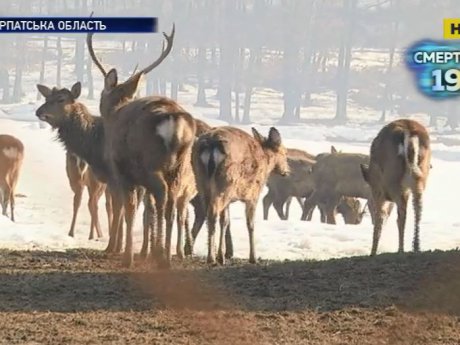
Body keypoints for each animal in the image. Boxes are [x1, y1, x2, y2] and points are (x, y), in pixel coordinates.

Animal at [87, 24, 199, 266]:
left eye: (102, 92)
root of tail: (174, 120)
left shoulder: (121, 171)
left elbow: (128, 209)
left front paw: (126, 255)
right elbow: (145, 210)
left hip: (150, 162)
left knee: (162, 195)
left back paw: (160, 257)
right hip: (179, 166)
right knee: (171, 204)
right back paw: (165, 257)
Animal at [360, 119, 432, 255]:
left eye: (370, 205)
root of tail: (409, 131)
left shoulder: (378, 191)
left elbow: (380, 217)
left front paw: (373, 252)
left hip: (393, 178)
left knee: (401, 213)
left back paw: (401, 249)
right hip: (421, 173)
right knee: (417, 206)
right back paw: (416, 246)